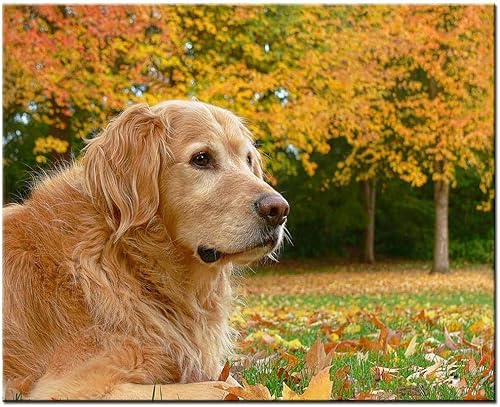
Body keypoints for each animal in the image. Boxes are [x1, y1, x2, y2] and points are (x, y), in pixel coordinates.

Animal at [2, 100, 290, 400]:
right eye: (201, 158)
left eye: (248, 160)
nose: (279, 210)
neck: (129, 261)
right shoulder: (71, 387)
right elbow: (228, 388)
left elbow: (234, 382)